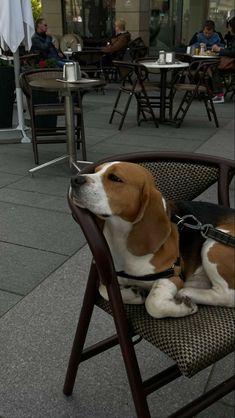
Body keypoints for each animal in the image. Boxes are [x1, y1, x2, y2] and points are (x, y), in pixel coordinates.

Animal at [70, 162, 235, 318]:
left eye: (115, 178)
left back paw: (188, 293)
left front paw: (185, 307)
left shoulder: (172, 277)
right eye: (96, 171)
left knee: (227, 295)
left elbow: (153, 303)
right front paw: (135, 293)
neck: (121, 238)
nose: (75, 179)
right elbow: (103, 289)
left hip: (213, 245)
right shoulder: (114, 279)